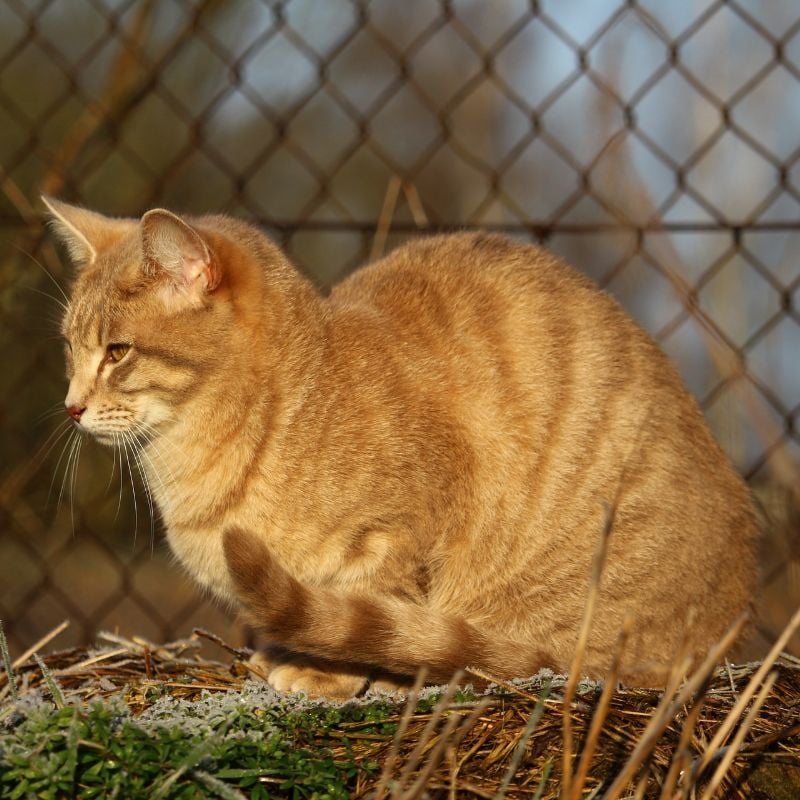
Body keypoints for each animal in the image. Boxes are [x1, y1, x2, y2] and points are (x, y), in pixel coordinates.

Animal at [47, 197, 760, 696]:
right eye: (70, 348)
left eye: (117, 352)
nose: (71, 406)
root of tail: (727, 643)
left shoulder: (398, 537)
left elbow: (373, 615)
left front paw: (328, 673)